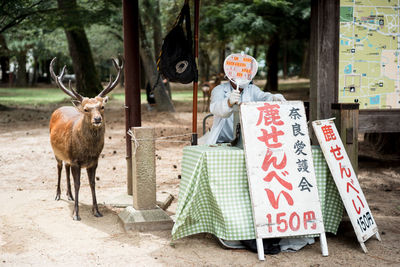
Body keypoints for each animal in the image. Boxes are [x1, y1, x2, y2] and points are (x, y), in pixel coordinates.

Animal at [49, 57, 122, 222]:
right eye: (86, 109)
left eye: (102, 107)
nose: (97, 119)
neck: (87, 151)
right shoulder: (76, 161)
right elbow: (78, 184)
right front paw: (76, 214)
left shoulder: (94, 161)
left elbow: (92, 183)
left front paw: (97, 211)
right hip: (56, 152)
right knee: (59, 167)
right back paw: (58, 195)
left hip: (67, 156)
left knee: (66, 168)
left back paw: (69, 195)